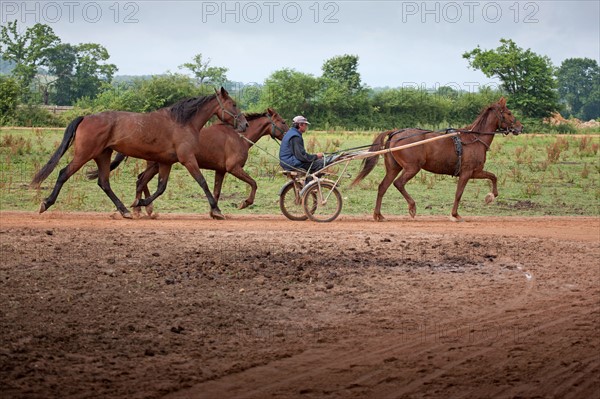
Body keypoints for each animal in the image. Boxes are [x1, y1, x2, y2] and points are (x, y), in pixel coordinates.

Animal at [29, 86, 246, 222]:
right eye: (234, 104)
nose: (244, 124)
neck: (182, 122)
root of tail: (86, 118)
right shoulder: (187, 159)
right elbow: (202, 182)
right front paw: (216, 210)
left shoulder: (166, 162)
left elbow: (160, 188)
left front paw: (139, 203)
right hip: (85, 154)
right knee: (63, 173)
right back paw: (46, 203)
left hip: (103, 155)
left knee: (104, 182)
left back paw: (124, 211)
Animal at [86, 108, 288, 217]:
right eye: (283, 121)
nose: (291, 132)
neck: (238, 136)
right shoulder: (233, 168)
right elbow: (253, 183)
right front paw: (244, 203)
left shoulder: (221, 171)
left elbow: (216, 191)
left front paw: (214, 211)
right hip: (156, 164)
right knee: (141, 180)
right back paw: (141, 208)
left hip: (155, 164)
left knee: (140, 180)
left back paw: (142, 208)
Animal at [350, 97, 524, 222]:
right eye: (509, 112)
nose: (520, 127)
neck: (474, 139)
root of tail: (395, 133)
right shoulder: (467, 172)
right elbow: (459, 193)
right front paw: (455, 215)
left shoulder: (476, 171)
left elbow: (493, 177)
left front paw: (490, 196)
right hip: (412, 167)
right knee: (398, 183)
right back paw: (412, 207)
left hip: (394, 168)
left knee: (382, 187)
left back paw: (378, 215)